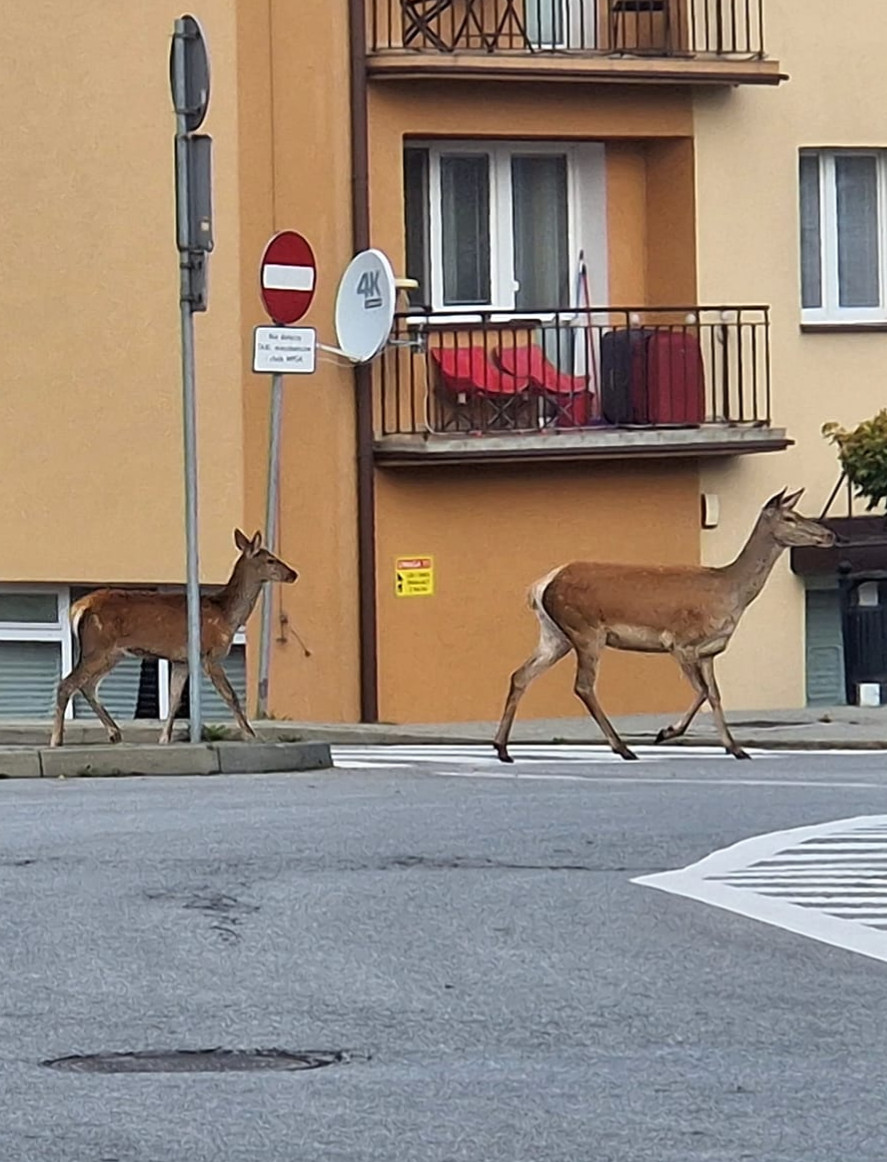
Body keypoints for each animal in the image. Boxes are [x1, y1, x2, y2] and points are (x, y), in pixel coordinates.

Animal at [50, 532, 296, 748]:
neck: (227, 615)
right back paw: (57, 739)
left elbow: (175, 699)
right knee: (67, 684)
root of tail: (77, 607)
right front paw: (252, 735)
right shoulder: (209, 654)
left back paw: (114, 732)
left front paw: (164, 738)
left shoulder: (182, 660)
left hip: (111, 653)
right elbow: (230, 695)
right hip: (98, 646)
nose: (293, 574)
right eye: (270, 559)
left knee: (88, 685)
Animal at [495, 488, 837, 762]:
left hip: (556, 634)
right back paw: (623, 748)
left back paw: (502, 749)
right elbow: (702, 691)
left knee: (521, 675)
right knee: (583, 685)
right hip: (586, 630)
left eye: (798, 513)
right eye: (790, 517)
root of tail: (541, 585)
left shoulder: (710, 651)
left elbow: (715, 695)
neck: (730, 593)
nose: (830, 535)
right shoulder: (680, 642)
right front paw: (666, 732)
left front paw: (736, 748)